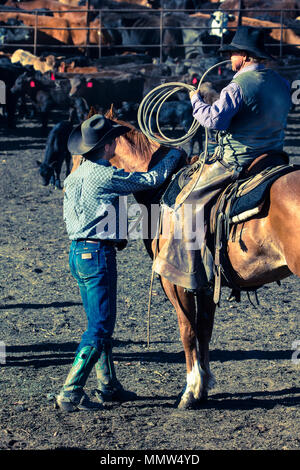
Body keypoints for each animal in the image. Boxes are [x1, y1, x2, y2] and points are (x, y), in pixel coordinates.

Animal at [71, 109, 300, 408]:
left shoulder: (176, 280)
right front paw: (203, 386)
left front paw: (190, 390)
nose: (67, 185)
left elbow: (187, 329)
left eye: (76, 158)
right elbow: (203, 329)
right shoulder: (206, 282)